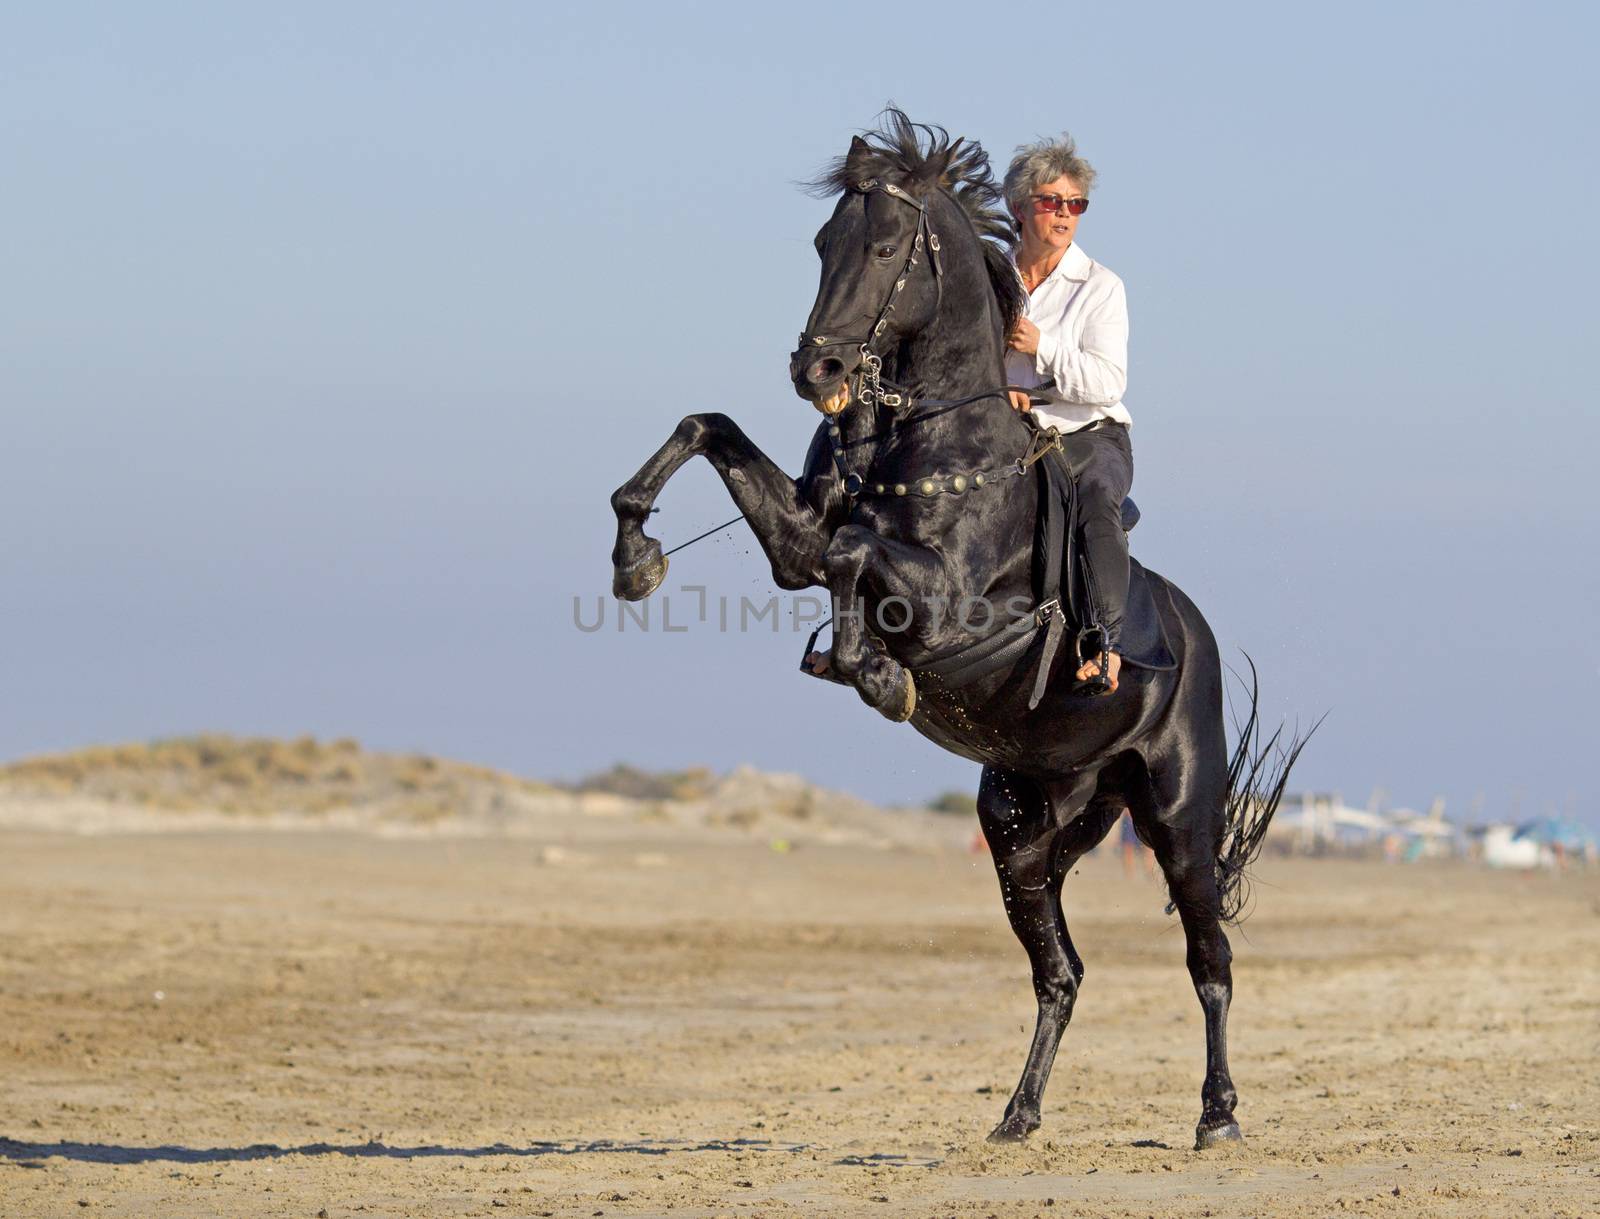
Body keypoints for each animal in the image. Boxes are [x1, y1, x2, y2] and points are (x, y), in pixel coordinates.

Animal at [608, 109, 1299, 1145]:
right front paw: (635, 550)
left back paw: (1217, 1113)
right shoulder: (798, 543)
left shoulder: (949, 603)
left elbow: (857, 556)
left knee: (1208, 960)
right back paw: (1018, 1113)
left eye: (888, 246)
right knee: (1062, 973)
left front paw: (874, 671)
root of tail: (1195, 632)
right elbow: (715, 433)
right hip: (1028, 834)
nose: (817, 368)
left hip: (1178, 819)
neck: (927, 438)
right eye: (824, 242)